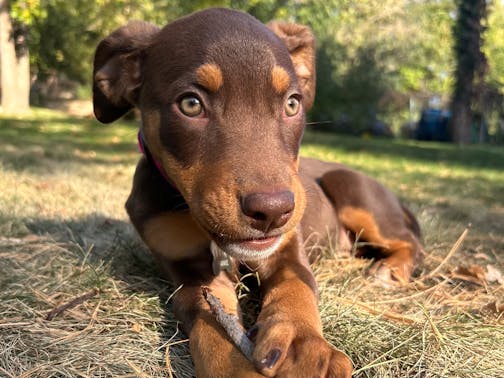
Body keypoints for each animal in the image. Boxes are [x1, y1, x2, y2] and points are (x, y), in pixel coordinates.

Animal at [92, 6, 424, 378]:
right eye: (190, 104)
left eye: (292, 104)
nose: (273, 211)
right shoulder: (187, 269)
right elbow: (211, 326)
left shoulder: (286, 247)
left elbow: (296, 285)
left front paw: (300, 344)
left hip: (352, 189)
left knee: (412, 244)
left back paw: (388, 271)